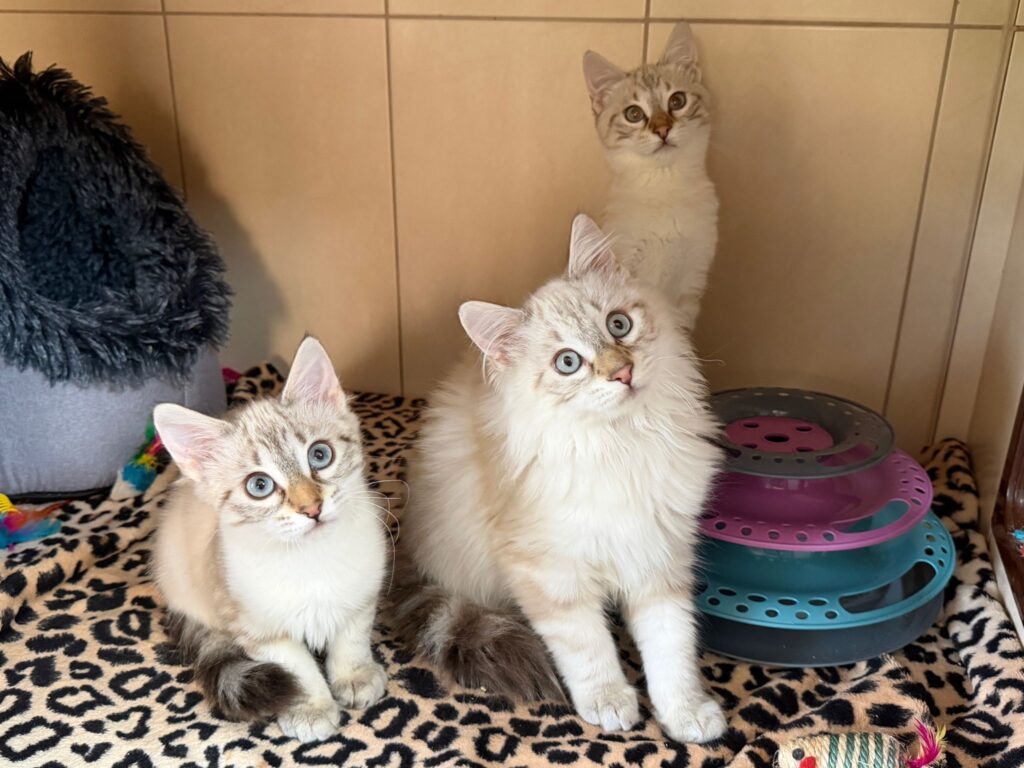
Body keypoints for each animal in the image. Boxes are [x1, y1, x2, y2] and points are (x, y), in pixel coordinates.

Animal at [151, 337, 388, 743]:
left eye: (320, 455)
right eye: (259, 486)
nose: (312, 508)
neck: (312, 560)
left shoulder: (361, 593)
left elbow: (352, 638)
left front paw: (354, 677)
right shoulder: (254, 626)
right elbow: (296, 668)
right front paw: (311, 708)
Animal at [393, 215, 727, 743]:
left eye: (618, 324)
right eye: (567, 363)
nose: (622, 372)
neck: (621, 444)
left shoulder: (657, 552)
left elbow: (671, 644)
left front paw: (686, 712)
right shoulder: (547, 570)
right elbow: (587, 646)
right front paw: (610, 703)